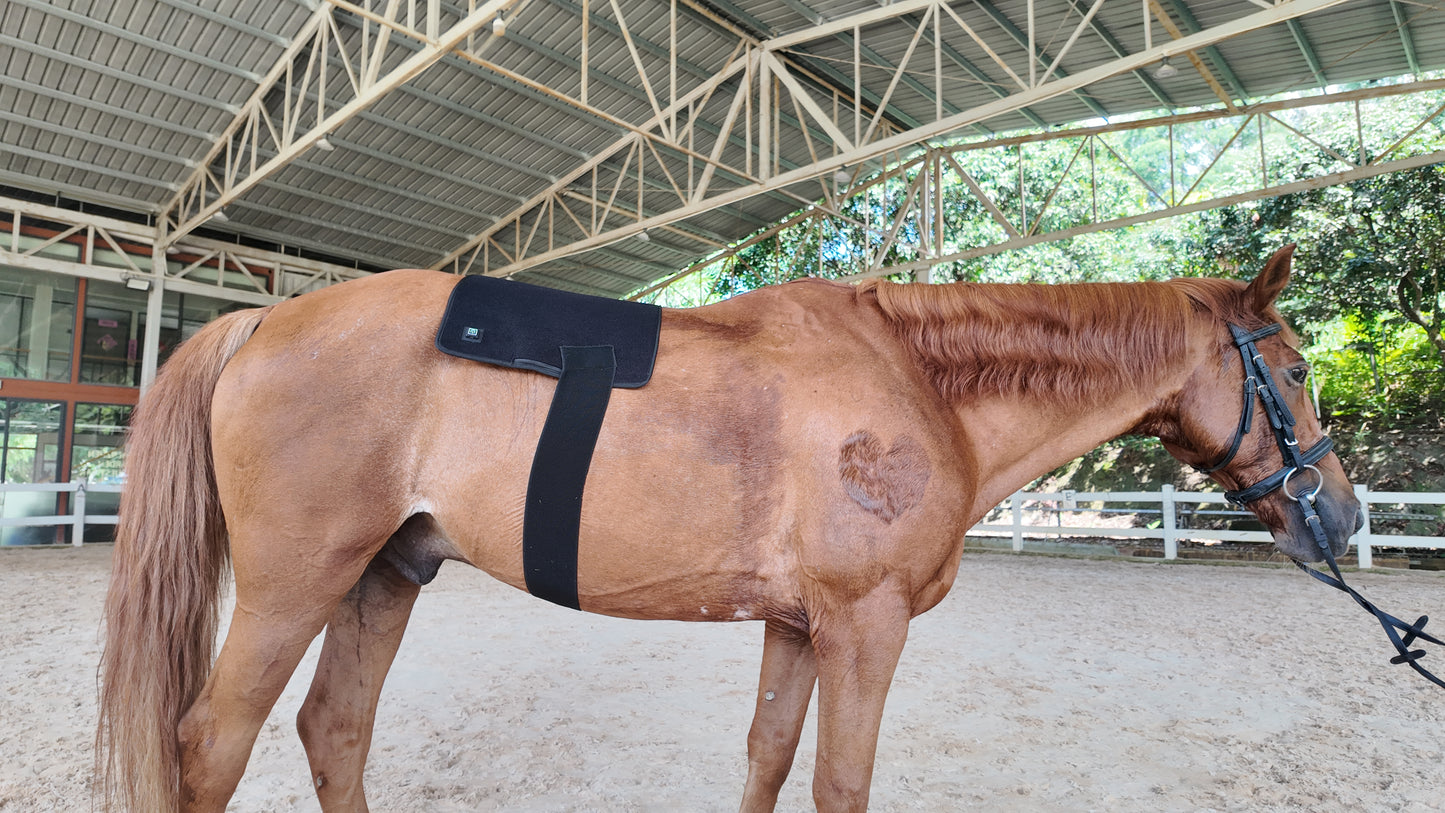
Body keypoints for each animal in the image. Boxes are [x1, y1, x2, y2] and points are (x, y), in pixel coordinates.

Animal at [95, 244, 1362, 811]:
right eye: (1297, 370)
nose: (1340, 517)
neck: (917, 384)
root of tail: (263, 319)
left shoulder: (799, 629)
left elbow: (768, 756)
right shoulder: (864, 630)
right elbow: (837, 782)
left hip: (382, 577)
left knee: (334, 729)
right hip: (293, 586)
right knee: (208, 744)